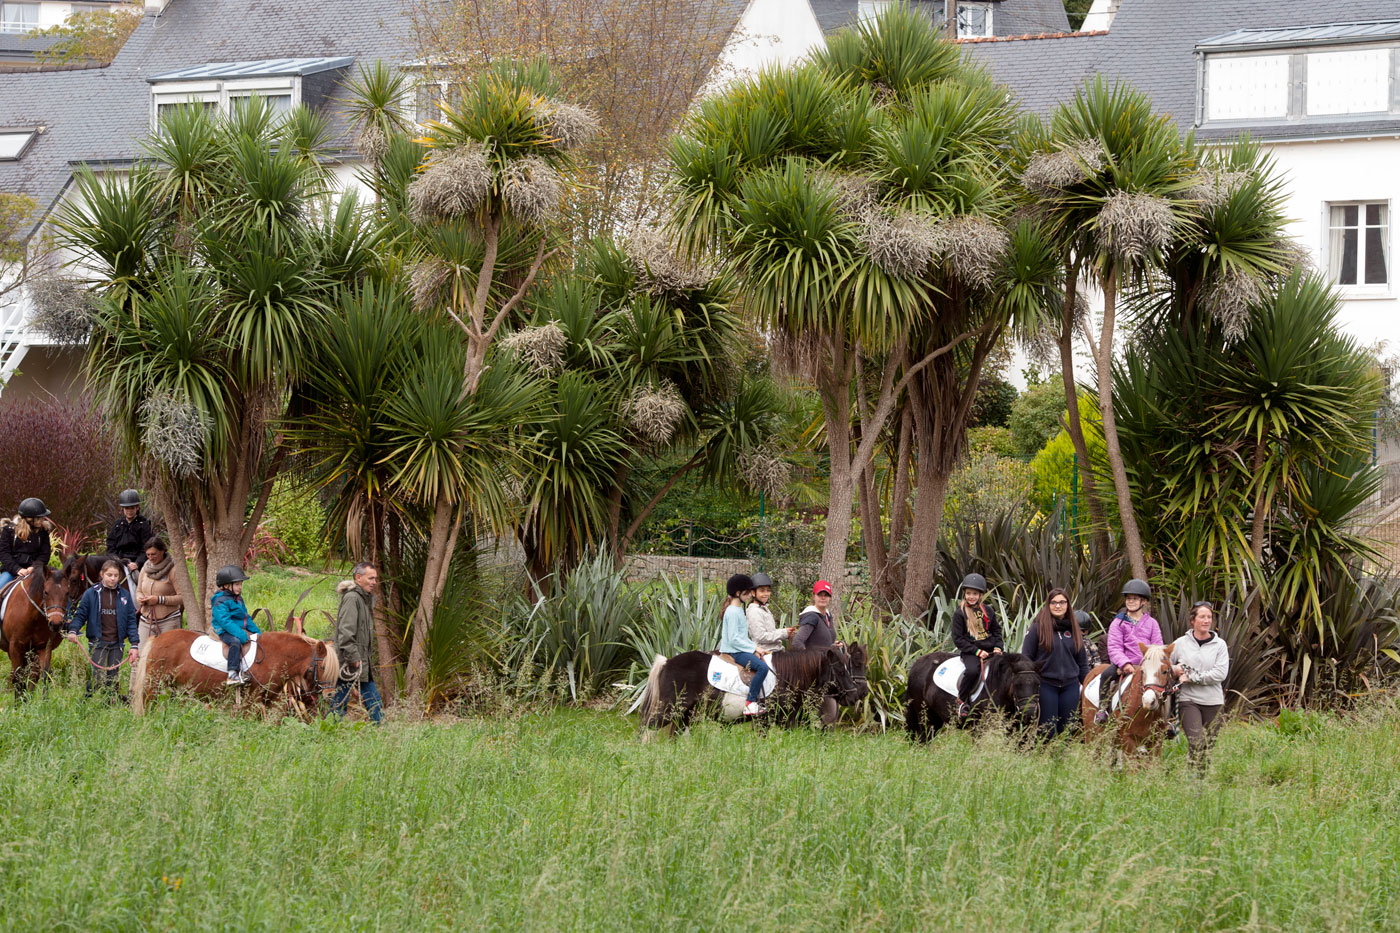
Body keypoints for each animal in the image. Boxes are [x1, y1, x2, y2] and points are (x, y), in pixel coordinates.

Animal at [0, 563, 70, 694]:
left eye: (67, 593)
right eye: (46, 592)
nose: (56, 624)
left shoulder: (43, 647)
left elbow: (43, 676)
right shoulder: (15, 647)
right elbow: (18, 679)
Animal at [131, 624, 341, 717]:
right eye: (323, 667)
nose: (330, 694)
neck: (274, 656)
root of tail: (157, 639)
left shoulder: (270, 702)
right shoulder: (251, 701)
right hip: (154, 685)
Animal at [638, 644, 862, 739]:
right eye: (840, 670)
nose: (854, 696)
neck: (786, 676)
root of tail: (667, 662)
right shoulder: (765, 721)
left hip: (684, 715)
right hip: (668, 710)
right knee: (647, 728)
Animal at [907, 647, 1041, 739]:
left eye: (1038, 684)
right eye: (1017, 685)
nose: (1029, 712)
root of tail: (916, 664)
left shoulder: (1010, 729)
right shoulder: (979, 729)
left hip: (936, 719)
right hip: (925, 717)